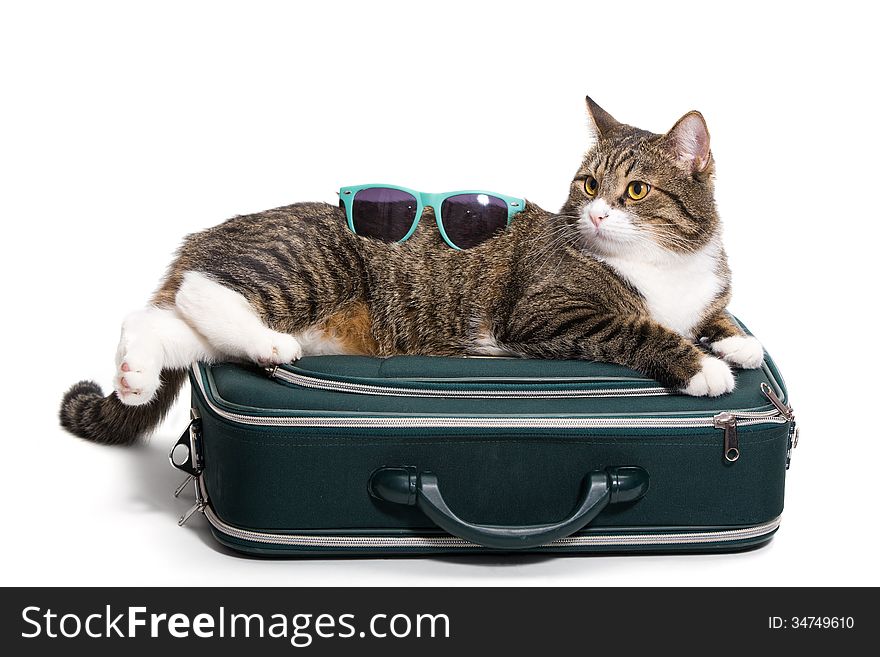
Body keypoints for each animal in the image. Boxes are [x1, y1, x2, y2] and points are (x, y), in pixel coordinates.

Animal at [62, 96, 764, 446]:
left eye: (636, 191)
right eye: (588, 184)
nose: (592, 214)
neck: (664, 264)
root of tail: (205, 235)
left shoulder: (707, 289)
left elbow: (718, 313)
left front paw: (739, 342)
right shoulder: (548, 312)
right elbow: (637, 328)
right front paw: (703, 366)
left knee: (156, 320)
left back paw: (135, 374)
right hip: (312, 262)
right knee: (202, 293)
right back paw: (268, 343)